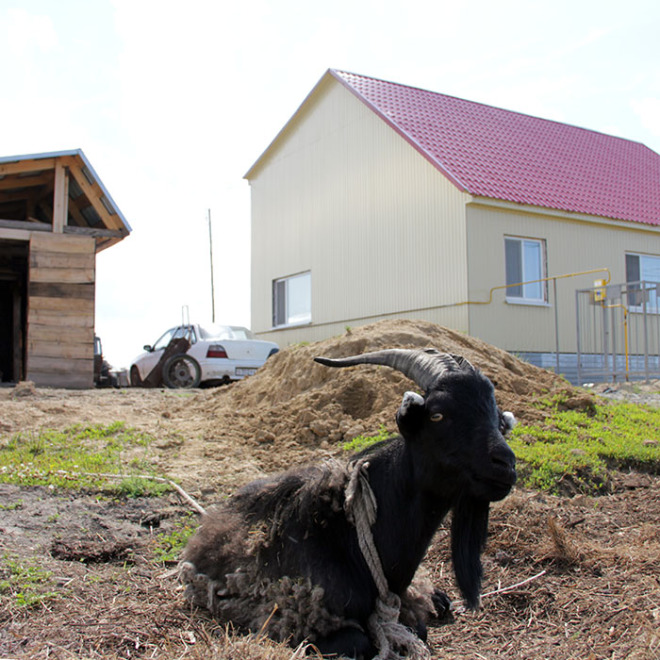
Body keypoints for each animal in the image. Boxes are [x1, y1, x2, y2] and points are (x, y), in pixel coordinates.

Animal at [180, 348, 516, 656]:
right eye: (438, 415)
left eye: (498, 422)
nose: (506, 464)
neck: (351, 534)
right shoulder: (299, 618)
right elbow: (361, 642)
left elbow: (418, 628)